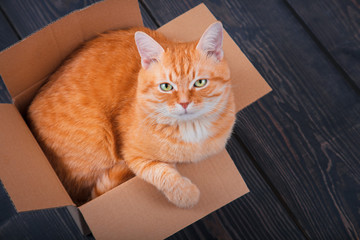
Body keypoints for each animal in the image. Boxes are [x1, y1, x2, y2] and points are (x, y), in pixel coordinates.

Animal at [28, 21, 236, 207]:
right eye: (166, 87)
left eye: (200, 83)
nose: (184, 103)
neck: (192, 131)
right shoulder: (132, 155)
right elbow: (159, 172)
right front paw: (185, 194)